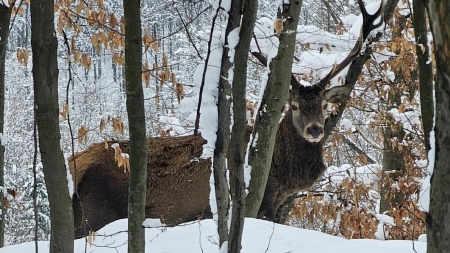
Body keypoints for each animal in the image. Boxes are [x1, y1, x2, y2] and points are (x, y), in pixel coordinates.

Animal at [70, 0, 380, 237]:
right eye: (292, 106)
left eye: (324, 105)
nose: (315, 130)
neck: (282, 176)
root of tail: (77, 162)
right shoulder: (261, 204)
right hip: (93, 215)